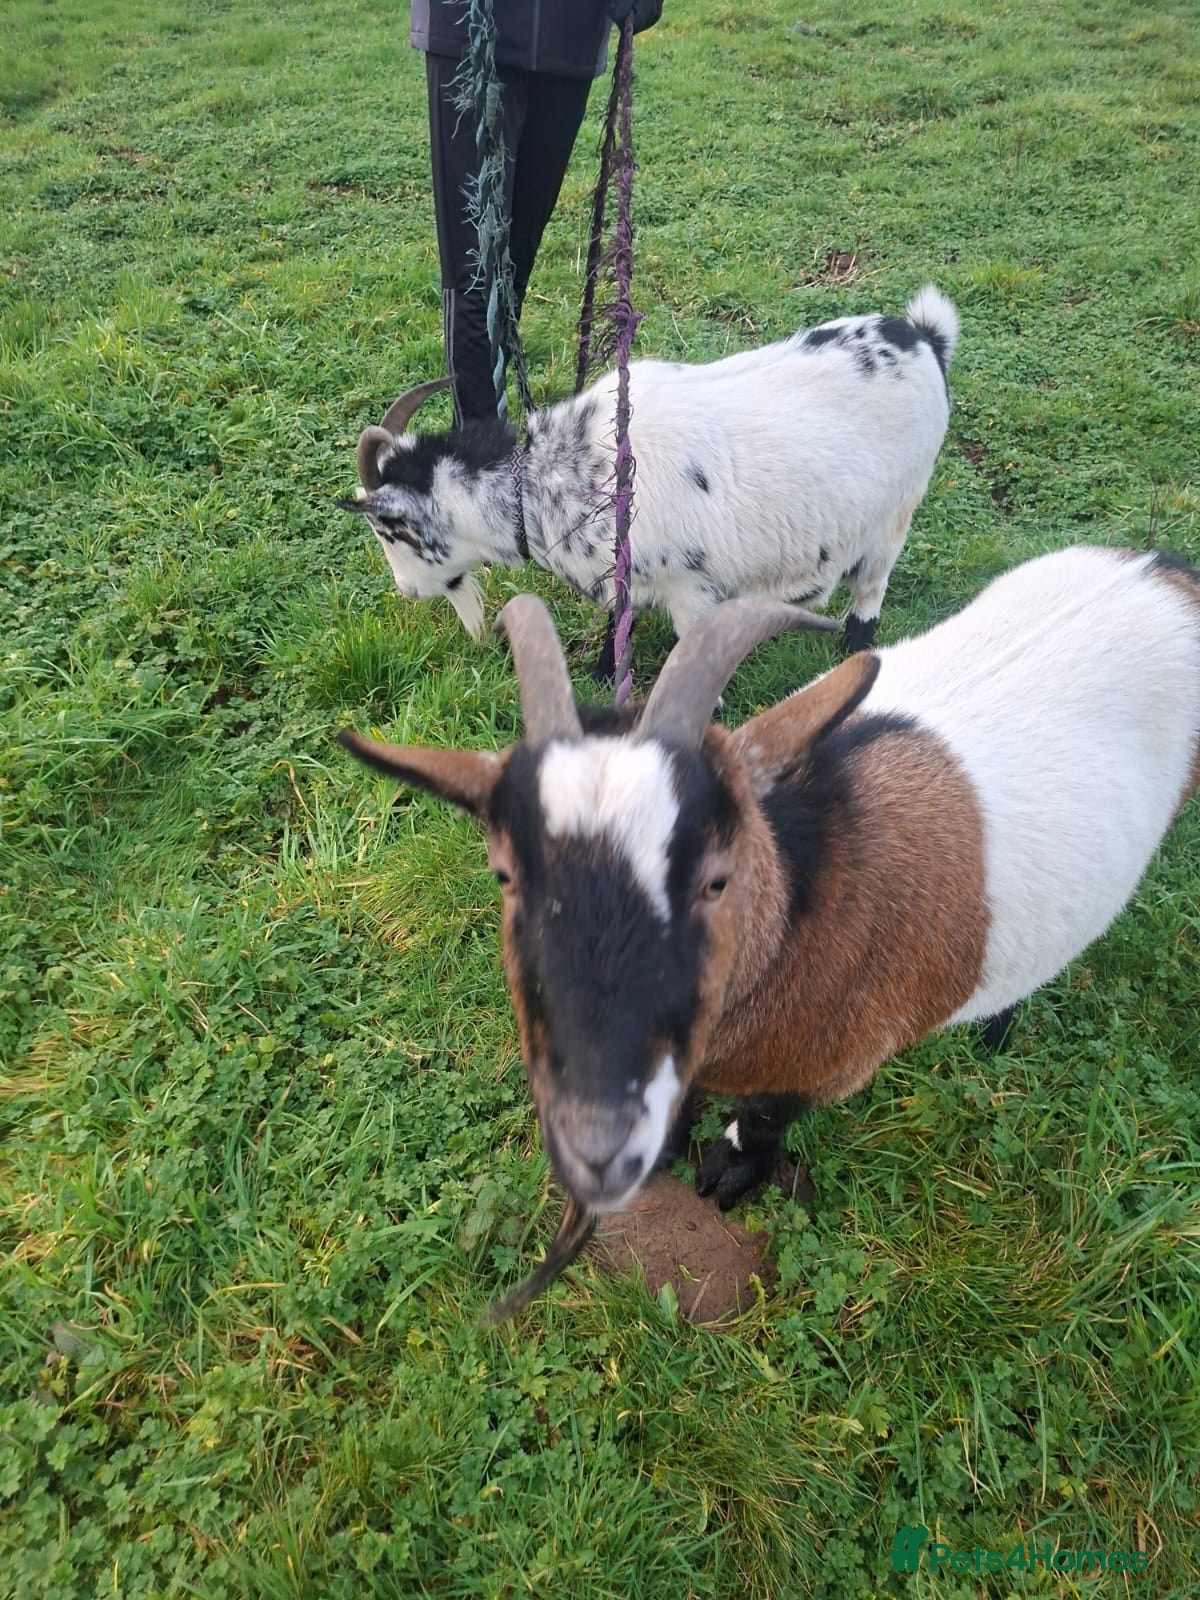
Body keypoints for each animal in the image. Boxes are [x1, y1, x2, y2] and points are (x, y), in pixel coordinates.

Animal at [339, 545, 1200, 1314]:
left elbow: (764, 1120)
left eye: (718, 877)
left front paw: (727, 1173)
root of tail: (1161, 570)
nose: (599, 1148)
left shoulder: (831, 1063)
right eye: (505, 874)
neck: (795, 915)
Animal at [342, 287, 959, 662]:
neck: (550, 480)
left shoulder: (692, 591)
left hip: (899, 510)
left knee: (871, 585)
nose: (406, 594)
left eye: (390, 532)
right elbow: (622, 623)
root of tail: (924, 338)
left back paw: (858, 646)